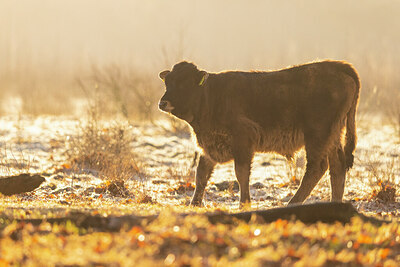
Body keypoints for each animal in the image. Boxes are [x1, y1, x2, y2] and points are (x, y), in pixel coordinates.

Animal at [159, 61, 360, 207]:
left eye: (184, 84)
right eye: (167, 82)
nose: (163, 103)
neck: (211, 96)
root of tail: (337, 66)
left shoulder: (242, 142)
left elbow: (241, 174)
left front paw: (244, 203)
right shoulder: (209, 147)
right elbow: (201, 175)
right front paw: (194, 204)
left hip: (318, 136)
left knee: (316, 168)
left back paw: (292, 203)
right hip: (332, 137)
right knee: (337, 167)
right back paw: (334, 202)